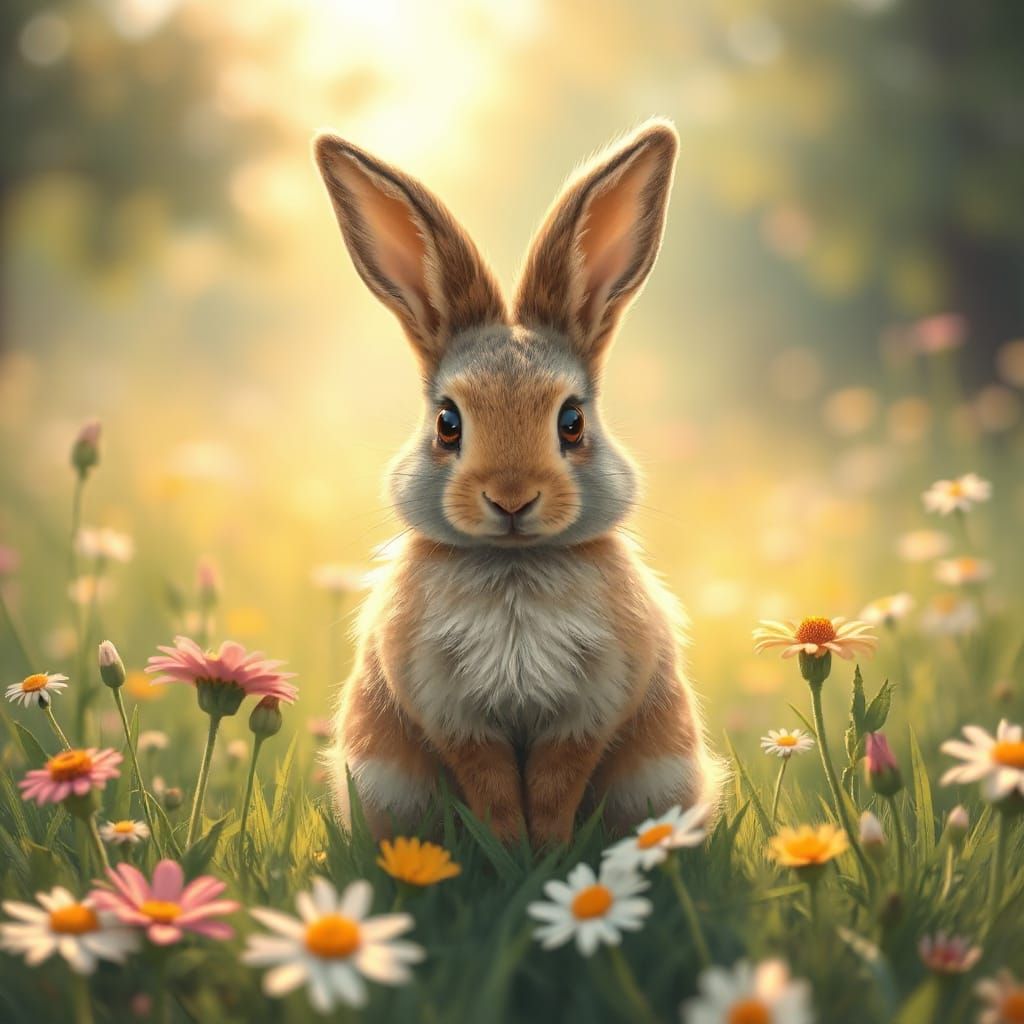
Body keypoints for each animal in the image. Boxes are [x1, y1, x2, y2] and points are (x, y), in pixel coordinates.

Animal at [315, 119, 720, 847]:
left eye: (572, 421)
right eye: (448, 423)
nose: (511, 499)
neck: (513, 564)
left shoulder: (587, 710)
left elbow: (555, 788)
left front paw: (545, 857)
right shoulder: (456, 717)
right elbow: (496, 791)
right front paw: (512, 855)